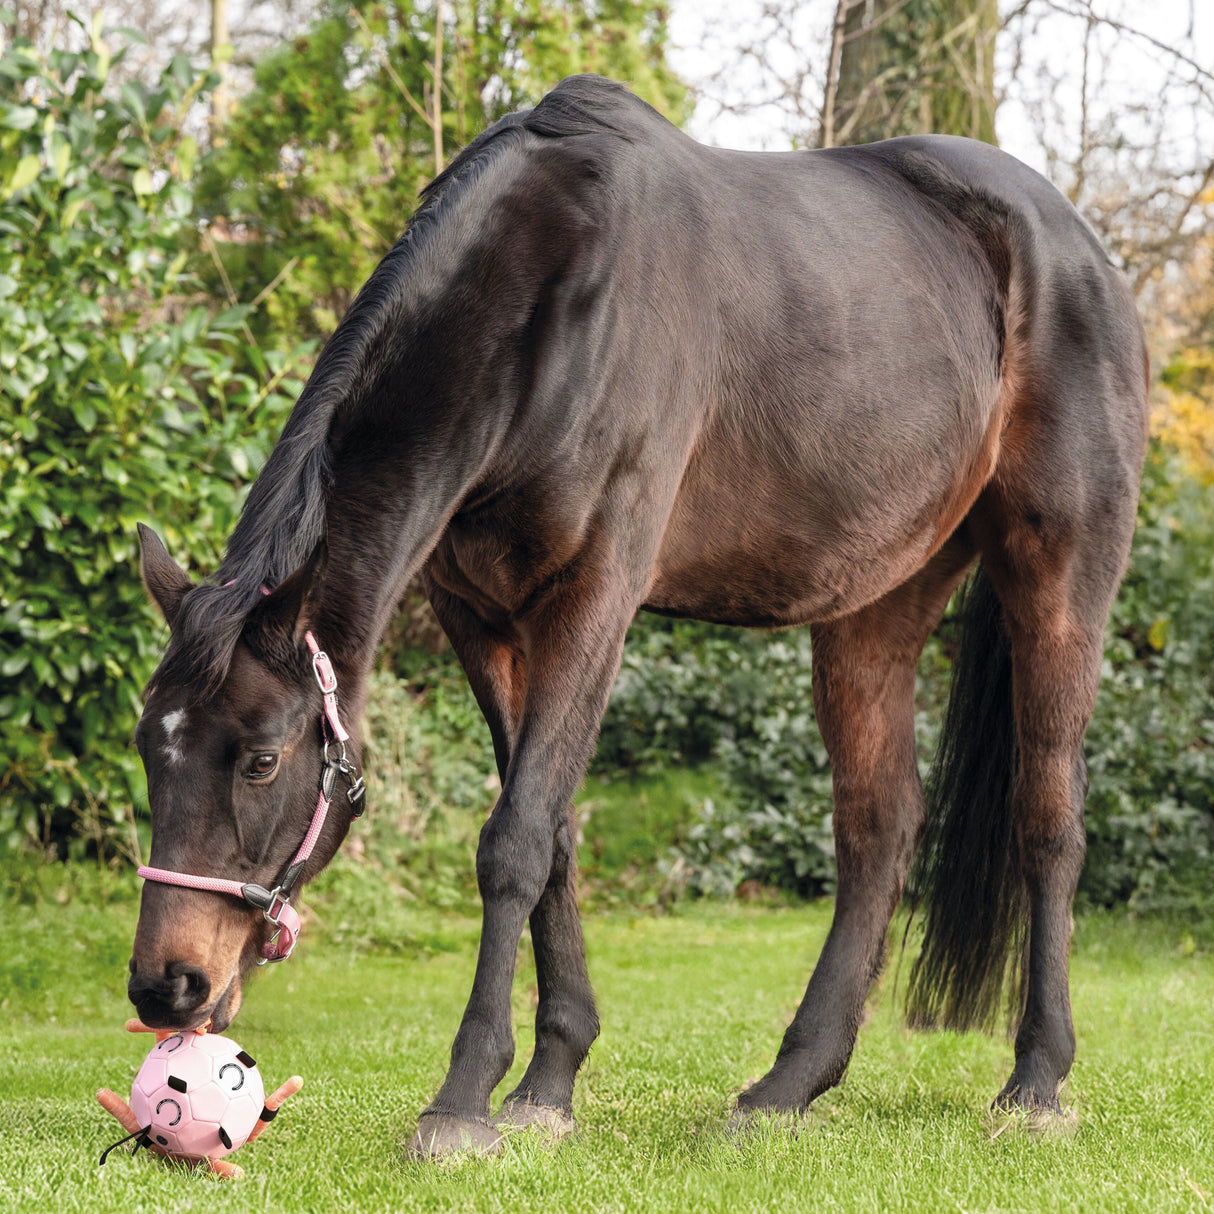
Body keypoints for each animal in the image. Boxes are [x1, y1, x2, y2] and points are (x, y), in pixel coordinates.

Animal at [129, 74, 1148, 1156]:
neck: (552, 302)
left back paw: (1035, 1081)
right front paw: (547, 1081)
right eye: (150, 748)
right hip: (876, 604)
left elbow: (514, 839)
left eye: (262, 759)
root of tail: (1079, 249)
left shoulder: (594, 596)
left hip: (1059, 574)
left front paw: (463, 1099)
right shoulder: (482, 618)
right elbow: (553, 835)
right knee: (877, 828)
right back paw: (786, 1083)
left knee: (1048, 817)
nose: (166, 986)